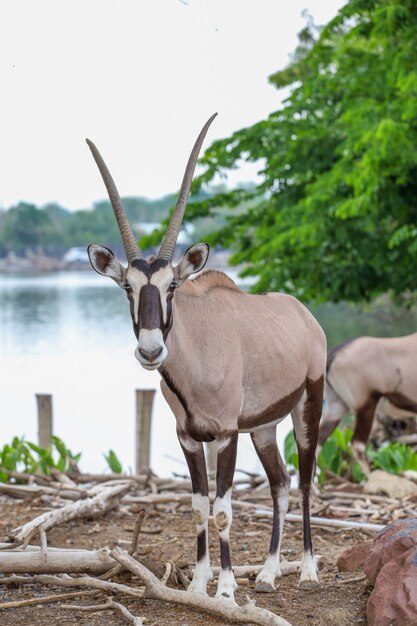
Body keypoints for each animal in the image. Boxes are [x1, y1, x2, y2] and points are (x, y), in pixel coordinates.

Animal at [85, 113, 324, 600]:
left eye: (172, 286)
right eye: (127, 287)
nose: (151, 350)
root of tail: (304, 315)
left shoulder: (227, 434)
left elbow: (224, 509)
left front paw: (227, 590)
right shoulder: (190, 436)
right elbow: (198, 506)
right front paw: (198, 585)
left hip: (308, 406)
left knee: (306, 481)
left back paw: (308, 570)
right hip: (265, 427)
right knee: (280, 482)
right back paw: (269, 573)